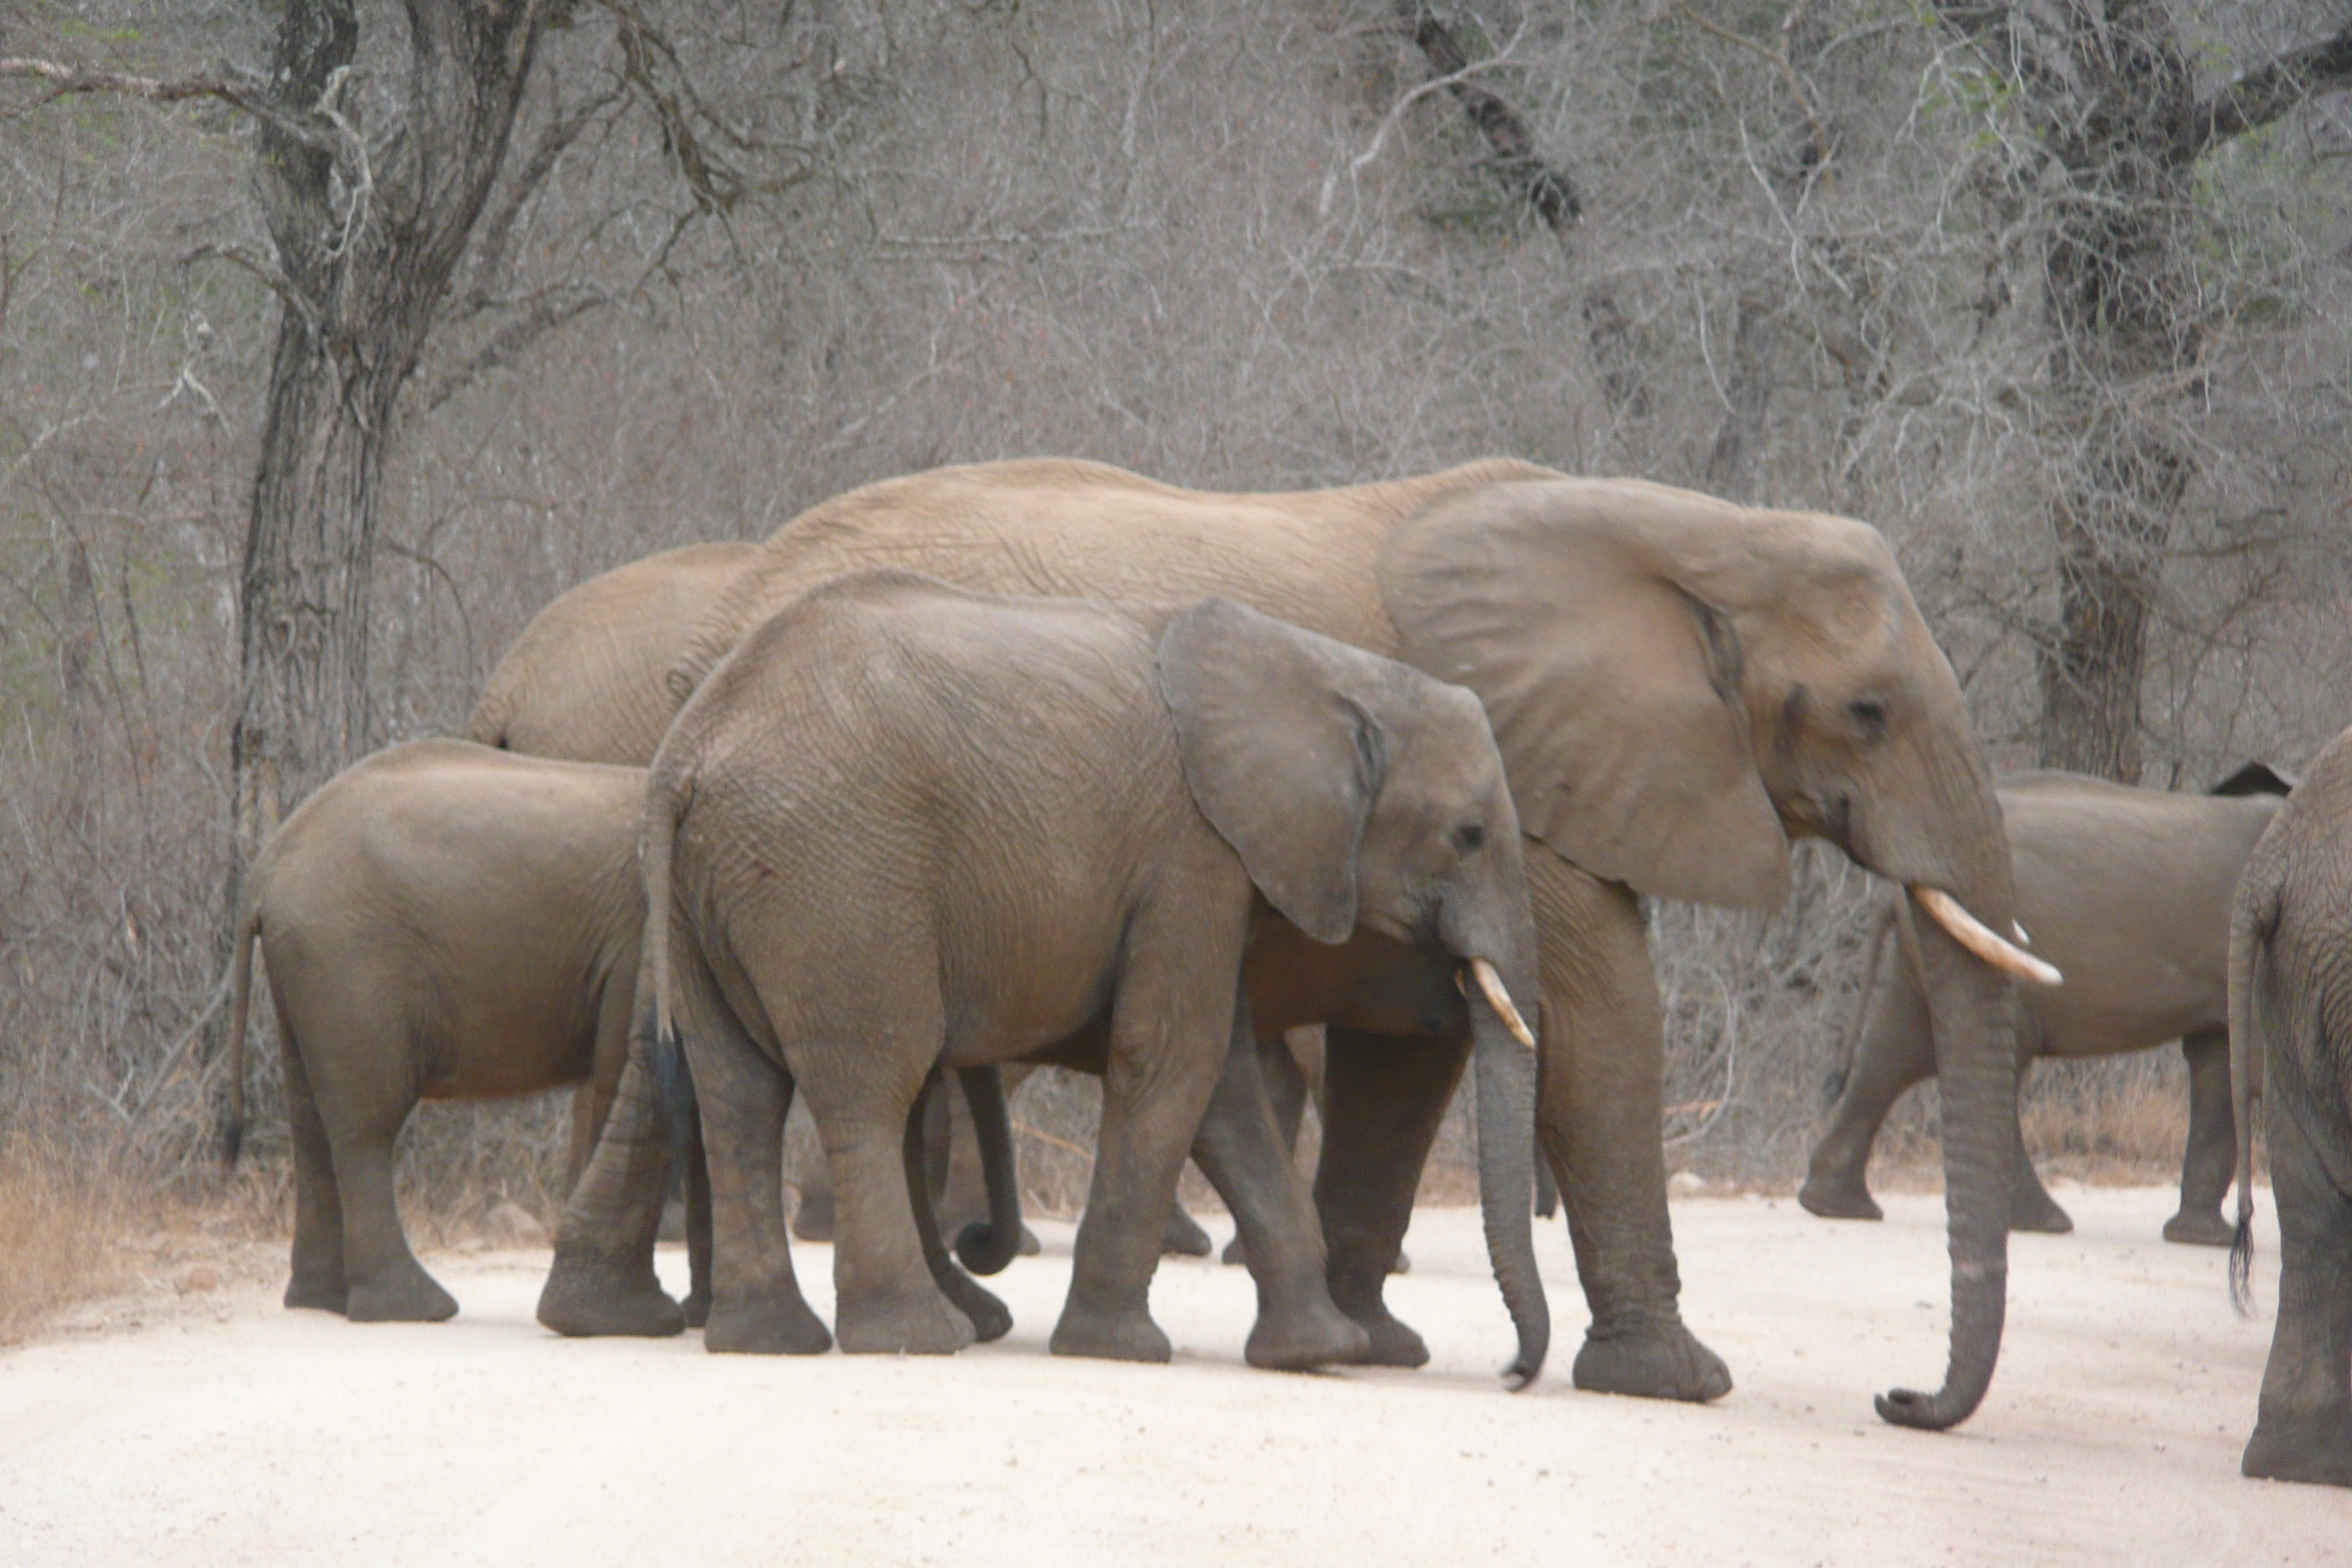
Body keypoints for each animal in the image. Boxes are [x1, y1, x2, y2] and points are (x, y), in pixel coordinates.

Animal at [225, 747, 705, 1325]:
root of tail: (264, 870)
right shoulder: (636, 939)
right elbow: (621, 1078)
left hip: (302, 967)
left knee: (310, 1121)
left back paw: (321, 1301)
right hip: (347, 960)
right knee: (365, 1124)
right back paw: (415, 1307)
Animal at [540, 573, 1552, 1373]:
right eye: (1469, 835)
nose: (1511, 1372)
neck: (1329, 669)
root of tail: (687, 752)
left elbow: (1220, 1085)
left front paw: (1320, 1352)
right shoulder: (1194, 853)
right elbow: (1173, 1060)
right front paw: (1125, 1350)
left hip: (701, 896)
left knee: (738, 1091)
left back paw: (770, 1342)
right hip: (835, 877)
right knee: (870, 1085)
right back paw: (918, 1337)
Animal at [1797, 766, 2277, 1241]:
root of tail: (1893, 891)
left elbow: (2221, 1066)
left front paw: (2203, 1239)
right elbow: (2254, 1068)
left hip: (1930, 947)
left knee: (1893, 1053)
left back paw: (1835, 1206)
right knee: (1981, 1059)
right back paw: (2042, 1222)